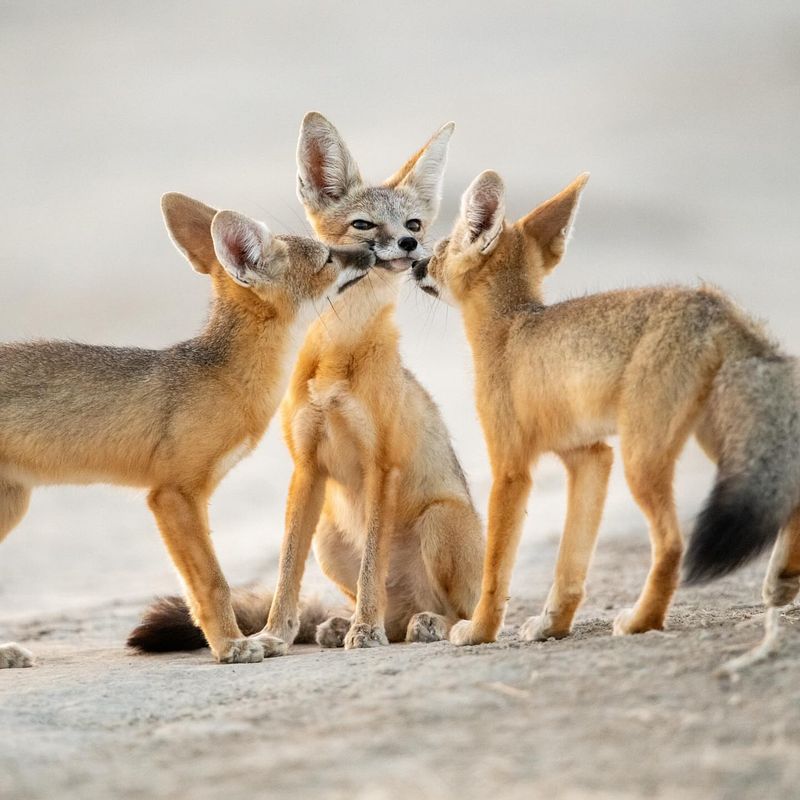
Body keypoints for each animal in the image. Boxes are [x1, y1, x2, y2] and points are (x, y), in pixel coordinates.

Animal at [0, 191, 375, 668]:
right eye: (328, 256)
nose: (374, 248)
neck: (223, 378)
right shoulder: (173, 495)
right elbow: (215, 584)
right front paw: (232, 646)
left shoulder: (185, 498)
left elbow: (201, 589)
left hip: (12, 506)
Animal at [130, 113, 485, 655]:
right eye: (363, 225)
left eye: (414, 225)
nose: (410, 246)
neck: (337, 362)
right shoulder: (307, 465)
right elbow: (286, 568)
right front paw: (275, 634)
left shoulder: (383, 464)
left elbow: (371, 567)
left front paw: (364, 630)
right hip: (330, 542)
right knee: (395, 613)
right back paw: (345, 625)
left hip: (439, 522)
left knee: (456, 614)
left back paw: (419, 623)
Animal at [410, 169, 800, 654]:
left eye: (440, 249)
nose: (413, 263)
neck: (512, 327)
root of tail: (711, 302)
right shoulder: (590, 456)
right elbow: (570, 564)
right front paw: (552, 625)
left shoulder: (511, 467)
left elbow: (495, 570)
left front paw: (480, 630)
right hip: (714, 441)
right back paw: (783, 580)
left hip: (643, 459)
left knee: (673, 544)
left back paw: (642, 621)